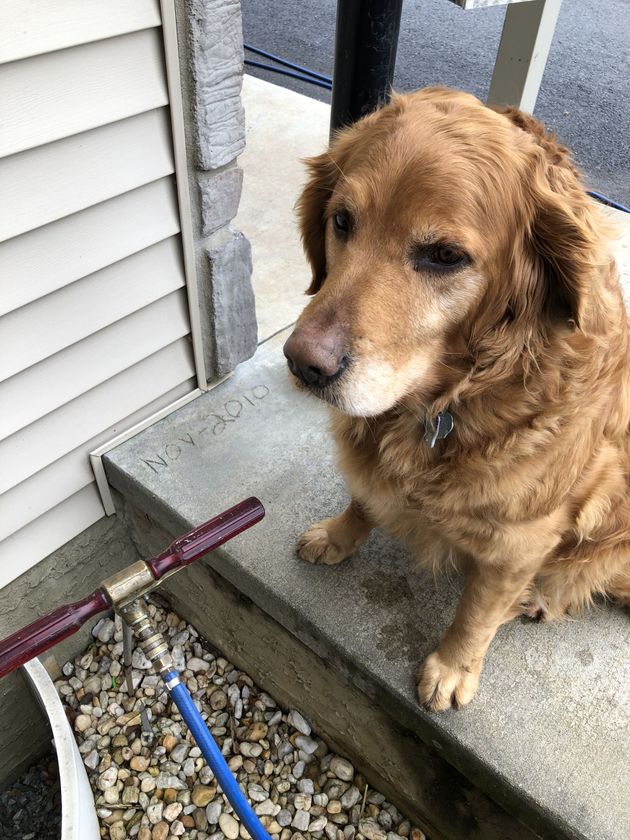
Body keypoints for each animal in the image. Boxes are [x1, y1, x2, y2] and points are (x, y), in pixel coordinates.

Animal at [282, 87, 630, 708]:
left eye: (444, 256)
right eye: (341, 221)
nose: (303, 363)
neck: (452, 398)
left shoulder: (521, 540)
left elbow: (478, 610)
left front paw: (452, 668)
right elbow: (363, 497)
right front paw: (338, 535)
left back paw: (539, 598)